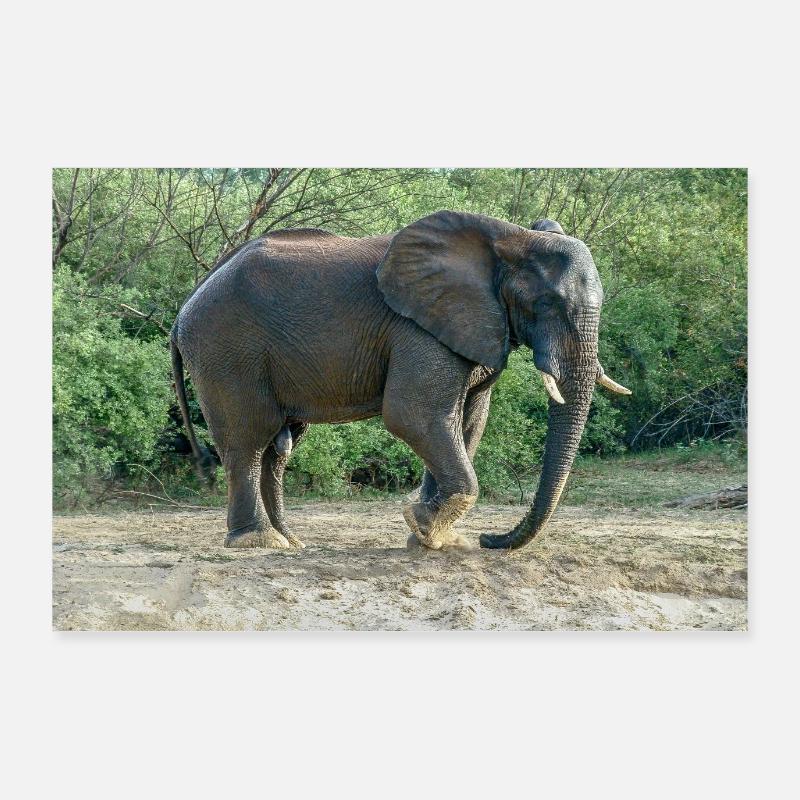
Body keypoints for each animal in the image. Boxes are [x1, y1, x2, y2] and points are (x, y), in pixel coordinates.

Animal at [170, 211, 630, 551]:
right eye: (547, 303)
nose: (489, 539)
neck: (511, 238)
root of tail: (183, 309)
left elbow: (467, 424)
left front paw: (434, 537)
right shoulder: (418, 327)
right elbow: (415, 416)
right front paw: (425, 526)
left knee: (278, 448)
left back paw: (291, 541)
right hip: (226, 348)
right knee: (249, 438)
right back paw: (258, 542)